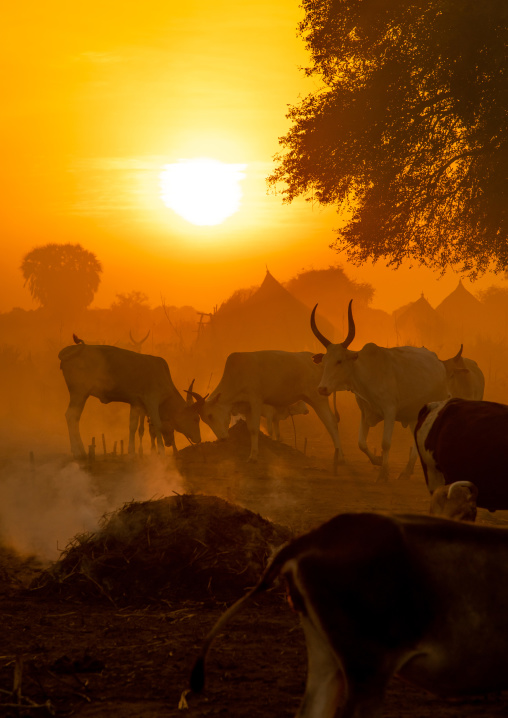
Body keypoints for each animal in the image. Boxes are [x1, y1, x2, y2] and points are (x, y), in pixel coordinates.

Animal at [58, 341, 202, 459]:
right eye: (196, 418)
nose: (199, 439)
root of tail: (69, 350)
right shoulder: (152, 400)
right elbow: (157, 425)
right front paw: (161, 452)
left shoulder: (136, 403)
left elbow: (132, 426)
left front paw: (132, 452)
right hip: (79, 393)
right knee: (71, 416)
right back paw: (78, 451)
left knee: (75, 418)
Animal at [188, 350, 344, 472]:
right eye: (204, 420)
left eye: (210, 415)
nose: (222, 438)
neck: (237, 376)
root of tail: (322, 362)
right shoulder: (247, 407)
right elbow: (251, 428)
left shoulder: (256, 400)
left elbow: (254, 429)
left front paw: (253, 457)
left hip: (318, 398)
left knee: (331, 423)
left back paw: (340, 458)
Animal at [310, 300, 449, 480]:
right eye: (324, 361)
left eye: (339, 361)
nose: (322, 388)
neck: (367, 373)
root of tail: (439, 362)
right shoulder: (365, 412)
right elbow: (361, 443)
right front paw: (377, 460)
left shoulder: (390, 411)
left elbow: (386, 443)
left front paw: (383, 473)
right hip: (413, 415)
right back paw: (407, 471)